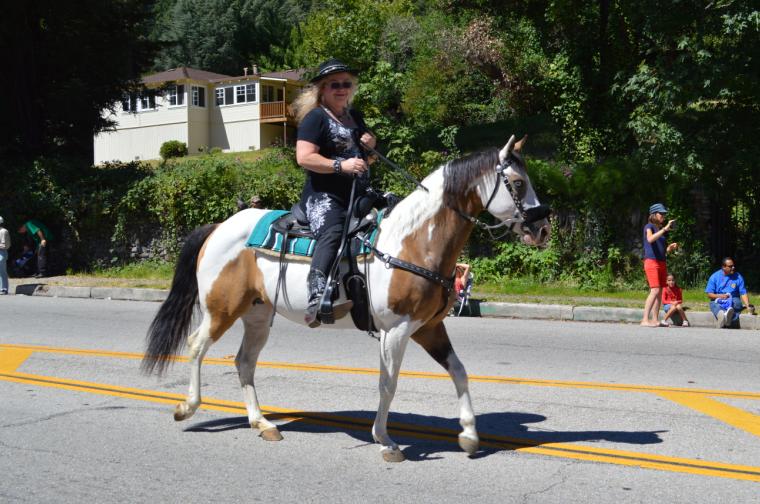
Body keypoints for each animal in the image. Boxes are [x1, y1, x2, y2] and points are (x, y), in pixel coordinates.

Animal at [141, 133, 548, 460]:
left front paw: (468, 434)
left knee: (244, 362)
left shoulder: (427, 327)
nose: (543, 228)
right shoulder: (395, 331)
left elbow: (459, 371)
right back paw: (187, 407)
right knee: (197, 345)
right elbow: (388, 383)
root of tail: (219, 227)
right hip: (221, 309)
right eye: (516, 182)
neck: (414, 241)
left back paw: (262, 423)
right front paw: (386, 441)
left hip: (256, 314)